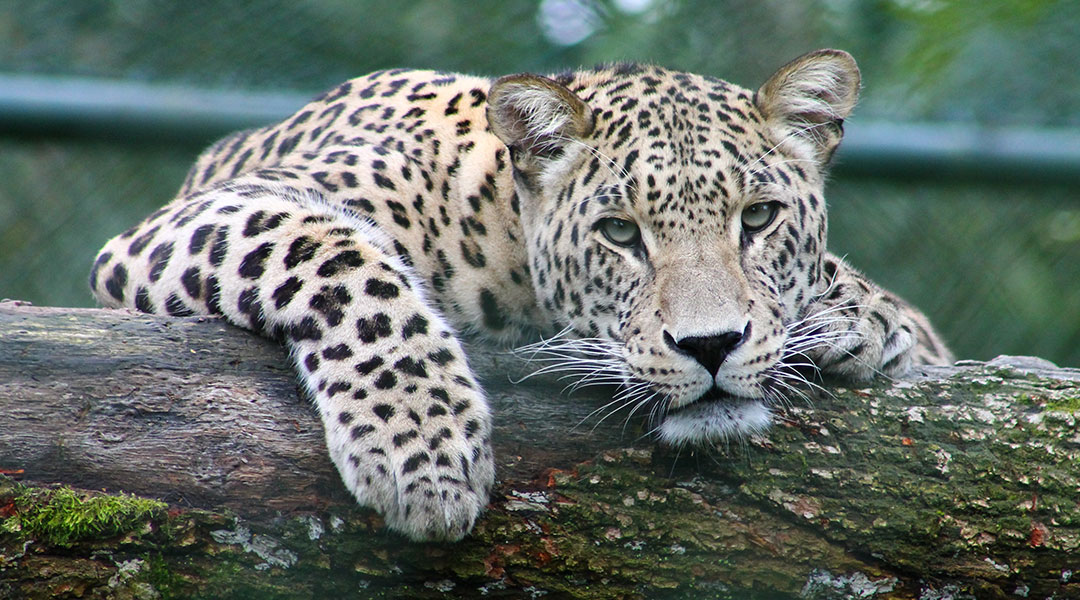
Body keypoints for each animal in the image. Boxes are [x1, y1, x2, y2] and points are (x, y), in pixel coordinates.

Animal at [92, 49, 954, 541]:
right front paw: (423, 449)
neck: (499, 229)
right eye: (619, 233)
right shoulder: (196, 219)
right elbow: (339, 257)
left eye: (760, 218)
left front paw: (862, 316)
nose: (710, 347)